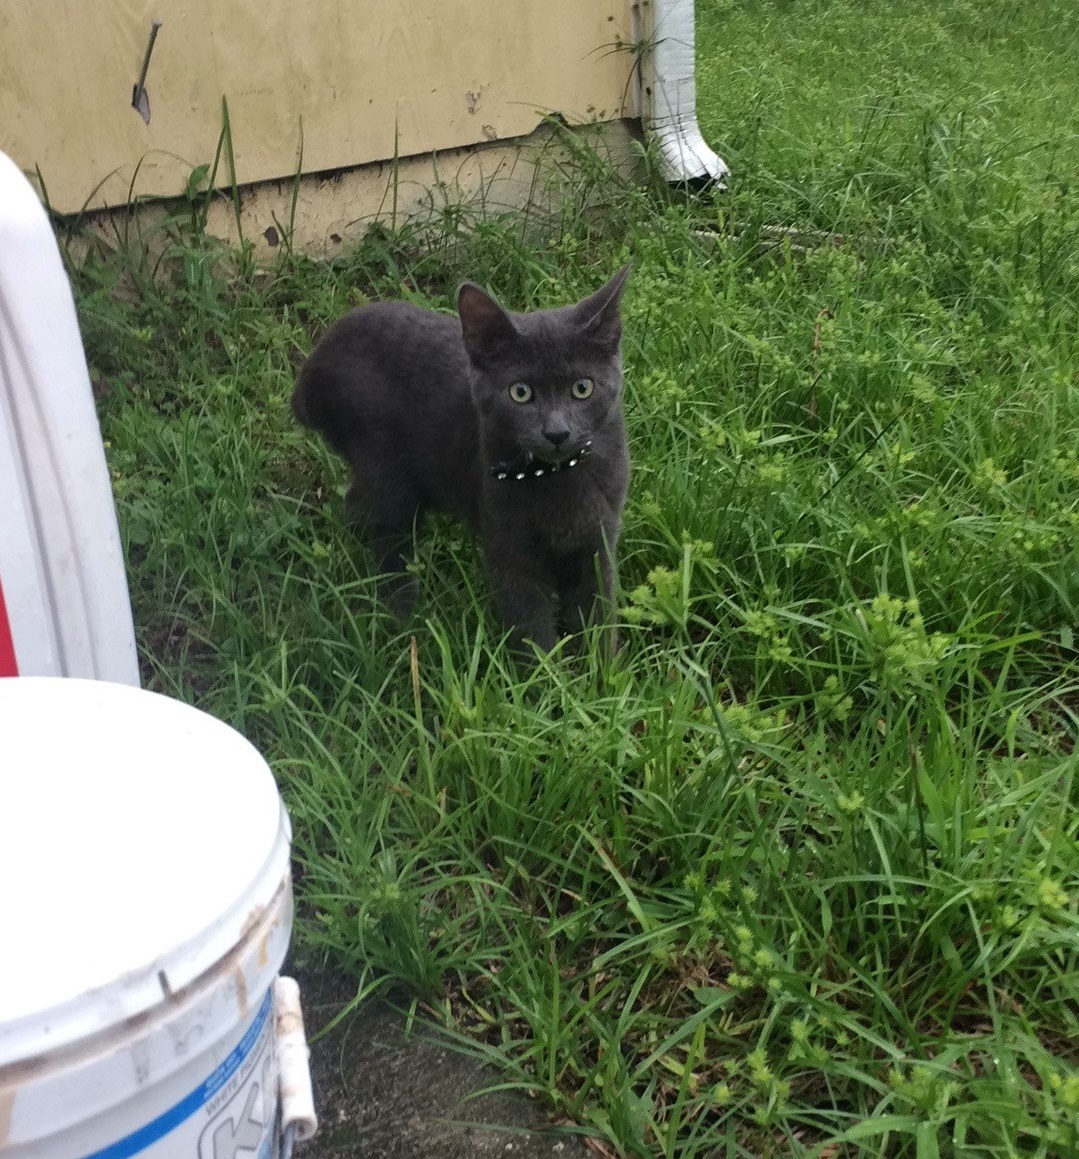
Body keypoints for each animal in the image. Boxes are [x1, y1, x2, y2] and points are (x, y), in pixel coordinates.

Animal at [295, 265, 635, 658]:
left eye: (583, 388)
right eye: (520, 392)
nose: (556, 432)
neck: (558, 476)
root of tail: (312, 368)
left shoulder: (599, 540)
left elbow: (597, 610)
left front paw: (601, 667)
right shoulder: (509, 547)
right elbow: (529, 621)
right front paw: (545, 670)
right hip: (385, 471)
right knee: (378, 524)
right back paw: (404, 608)